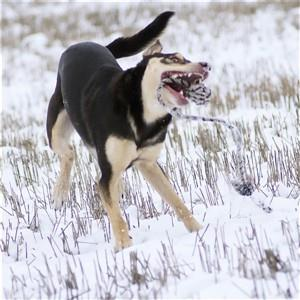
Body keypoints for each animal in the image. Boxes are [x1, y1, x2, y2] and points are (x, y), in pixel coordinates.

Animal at [47, 11, 211, 251]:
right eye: (173, 59)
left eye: (187, 58)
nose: (206, 65)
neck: (142, 112)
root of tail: (85, 44)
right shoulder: (108, 174)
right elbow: (115, 214)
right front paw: (125, 247)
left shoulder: (148, 164)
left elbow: (175, 199)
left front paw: (198, 229)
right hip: (56, 129)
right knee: (68, 154)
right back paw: (60, 193)